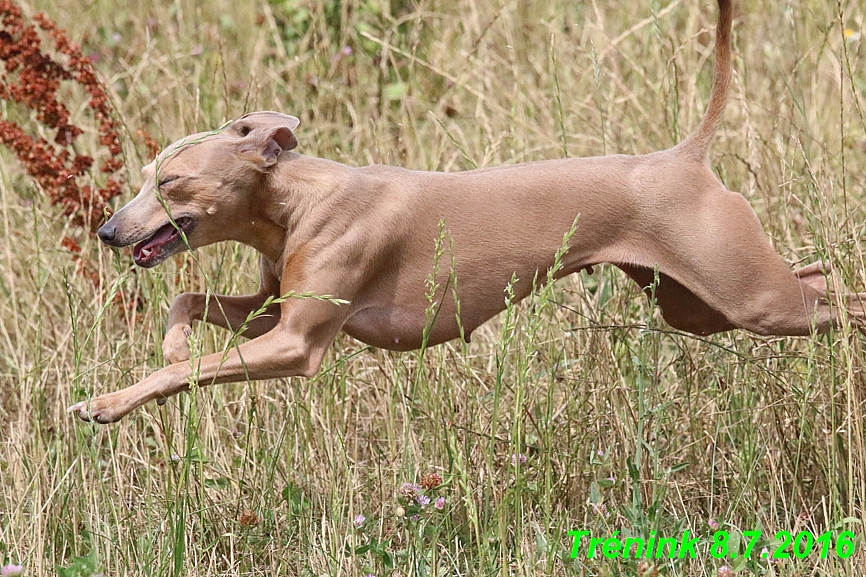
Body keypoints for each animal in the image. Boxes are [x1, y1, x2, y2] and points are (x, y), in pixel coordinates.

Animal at [69, 0, 864, 424]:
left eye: (172, 182)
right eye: (146, 177)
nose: (107, 230)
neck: (298, 198)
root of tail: (684, 155)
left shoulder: (297, 344)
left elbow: (189, 369)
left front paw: (108, 402)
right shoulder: (272, 316)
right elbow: (186, 302)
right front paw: (172, 344)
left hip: (748, 296)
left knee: (839, 296)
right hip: (698, 303)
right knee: (821, 276)